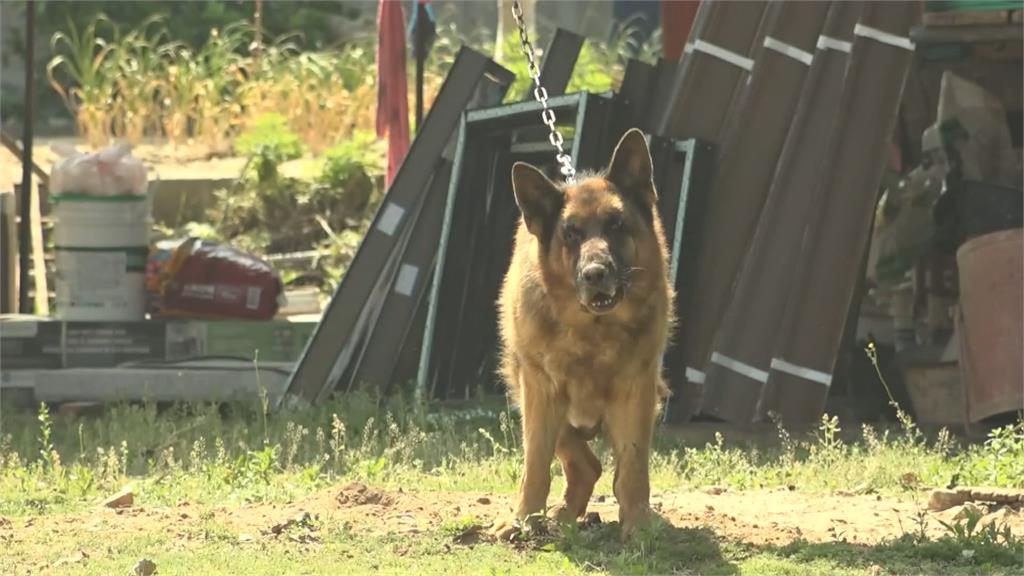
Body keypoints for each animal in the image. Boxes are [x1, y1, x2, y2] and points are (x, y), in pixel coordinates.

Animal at [493, 127, 675, 541]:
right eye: (571, 234)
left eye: (616, 224)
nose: (594, 274)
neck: (593, 332)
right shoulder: (540, 391)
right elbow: (535, 465)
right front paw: (521, 519)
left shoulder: (635, 393)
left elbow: (633, 469)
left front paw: (637, 524)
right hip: (531, 394)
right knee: (583, 464)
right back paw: (560, 516)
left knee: (601, 467)